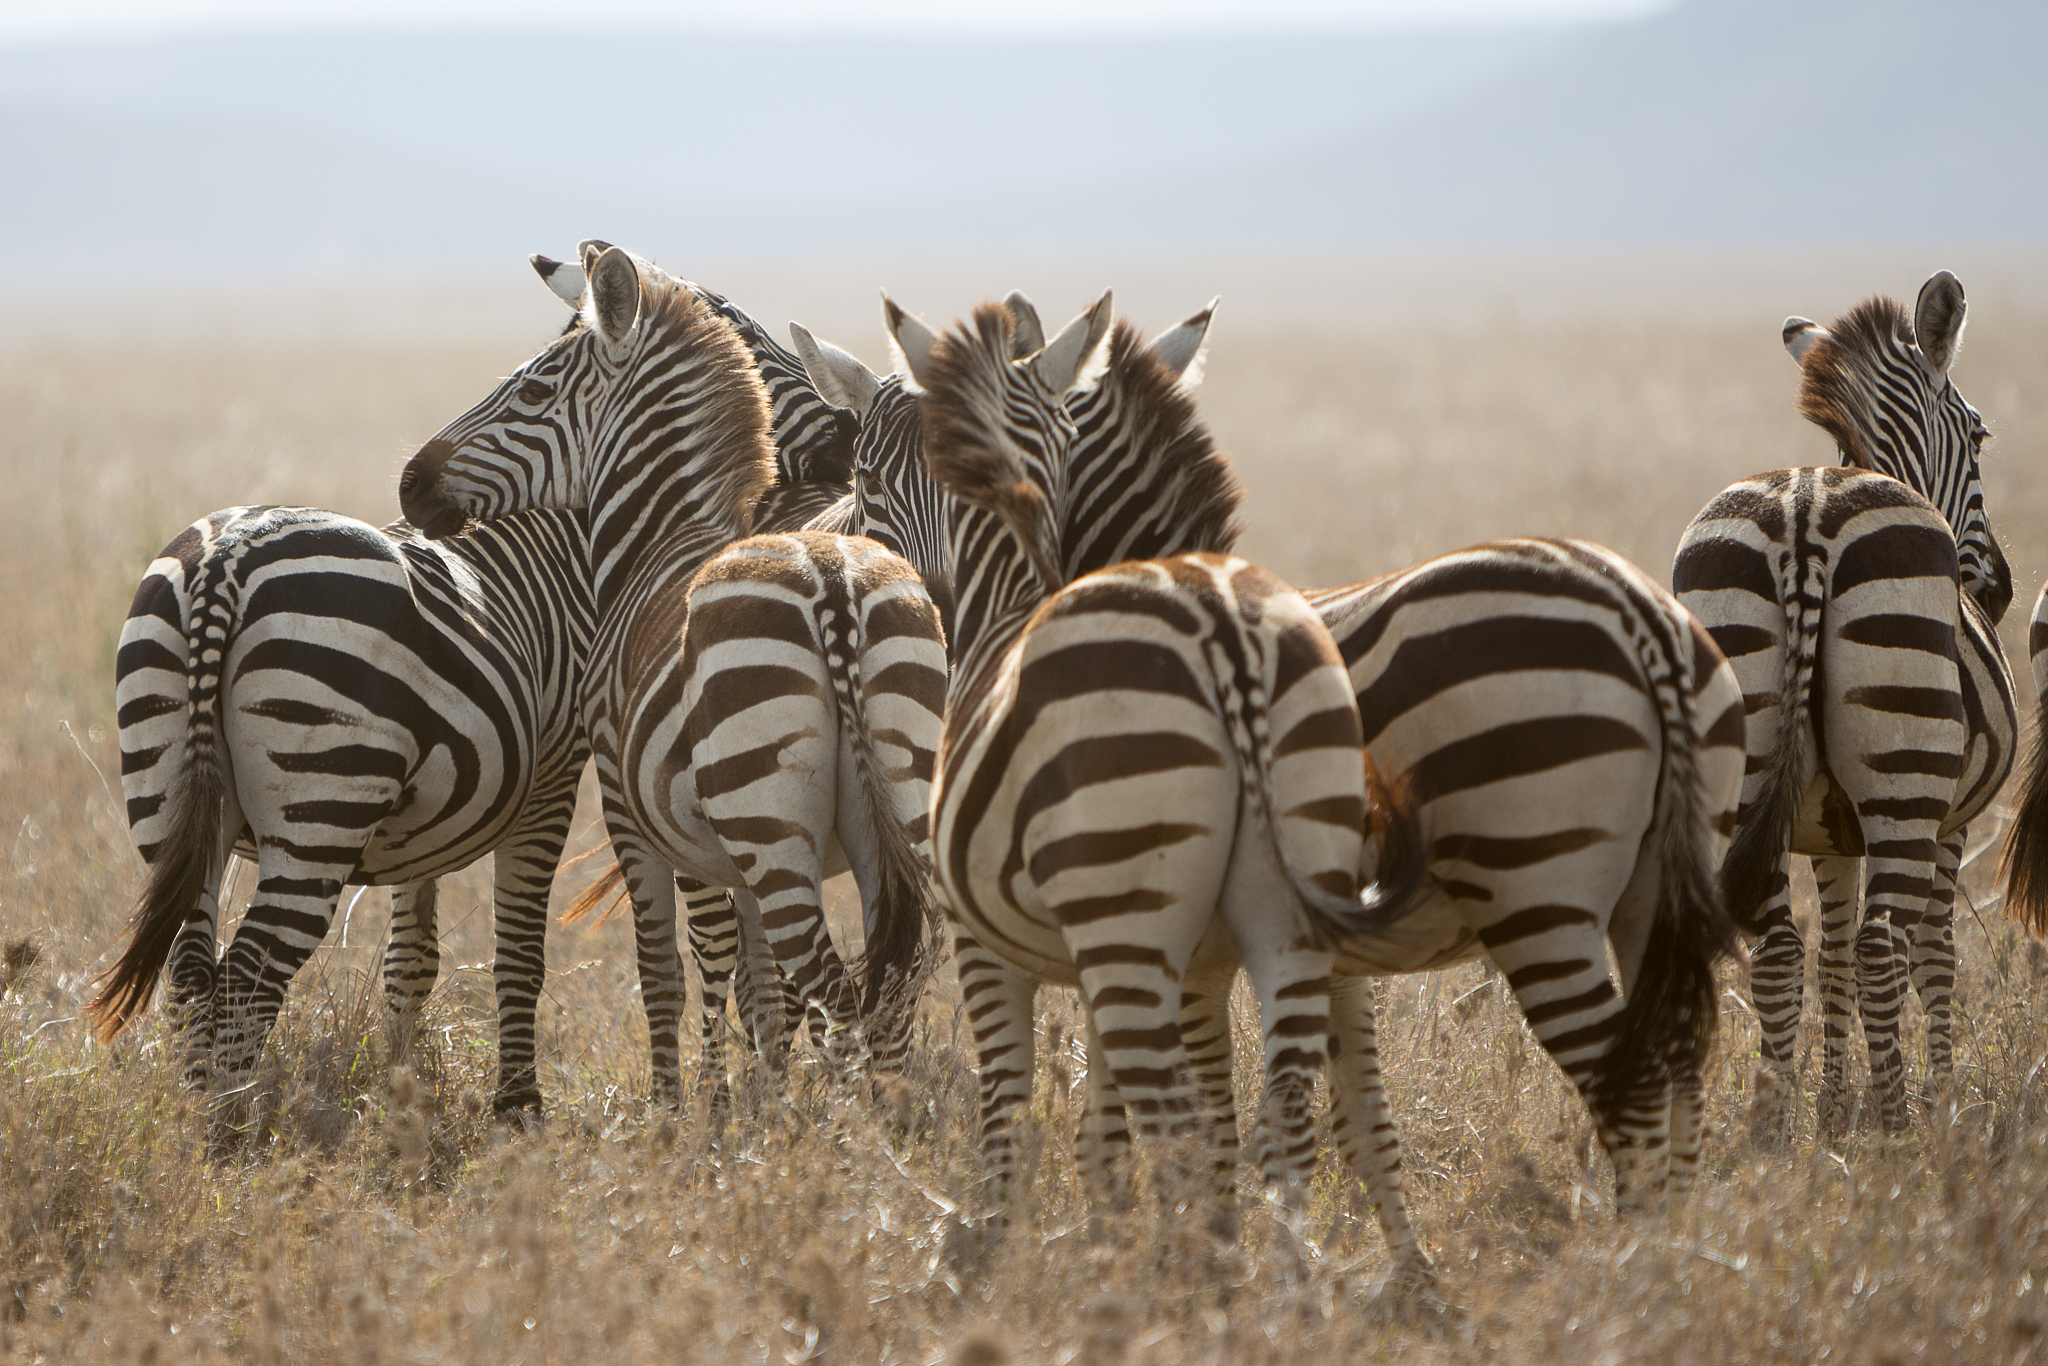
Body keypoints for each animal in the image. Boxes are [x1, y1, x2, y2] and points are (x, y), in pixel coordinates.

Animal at [88, 505, 593, 1125]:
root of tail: (226, 557)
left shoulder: (417, 832)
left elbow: (411, 960)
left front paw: (401, 1095)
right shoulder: (553, 776)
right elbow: (520, 956)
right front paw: (518, 1109)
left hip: (169, 788)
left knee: (190, 967)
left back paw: (192, 1114)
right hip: (322, 798)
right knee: (246, 978)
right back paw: (230, 1127)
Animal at [398, 241, 949, 1103]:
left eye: (532, 389)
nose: (410, 483)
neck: (660, 535)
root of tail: (832, 587)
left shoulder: (636, 819)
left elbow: (665, 972)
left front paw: (681, 1110)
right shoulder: (741, 852)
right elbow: (760, 991)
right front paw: (758, 1107)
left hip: (770, 824)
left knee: (836, 994)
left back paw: (843, 1137)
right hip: (896, 811)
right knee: (895, 986)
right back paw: (890, 1123)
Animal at [888, 289, 1431, 1237]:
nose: (932, 600)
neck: (1013, 584)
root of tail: (1223, 633)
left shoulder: (986, 944)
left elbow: (1012, 1119)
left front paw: (997, 1245)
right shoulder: (1159, 960)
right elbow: (1110, 1134)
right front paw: (1111, 1235)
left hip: (1132, 915)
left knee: (1185, 1125)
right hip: (1285, 918)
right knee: (1294, 1119)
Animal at [1673, 271, 2016, 1142]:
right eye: (1980, 435)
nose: (1998, 589)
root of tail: (1804, 514)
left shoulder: (1825, 831)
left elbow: (1827, 958)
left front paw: (1829, 1111)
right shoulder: (1950, 824)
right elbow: (1934, 957)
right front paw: (1940, 1099)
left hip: (1744, 760)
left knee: (1779, 952)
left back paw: (1768, 1133)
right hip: (1904, 778)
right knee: (1882, 948)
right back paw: (1899, 1131)